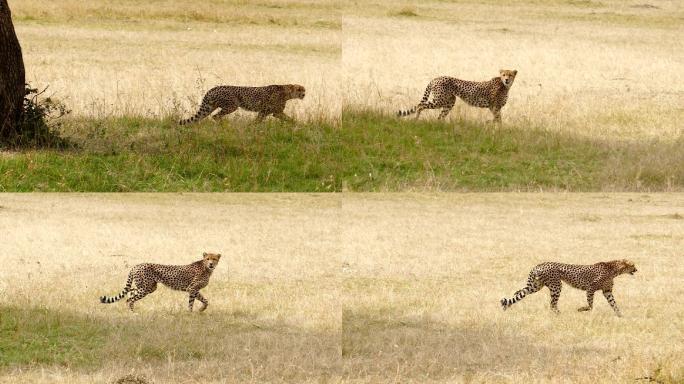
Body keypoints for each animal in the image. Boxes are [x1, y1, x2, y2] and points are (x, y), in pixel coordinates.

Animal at [178, 84, 306, 124]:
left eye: (304, 90)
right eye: (300, 89)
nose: (304, 94)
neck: (287, 91)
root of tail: (214, 88)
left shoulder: (269, 112)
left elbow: (257, 121)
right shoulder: (271, 111)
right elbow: (290, 119)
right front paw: (298, 124)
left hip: (210, 107)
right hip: (232, 106)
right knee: (216, 116)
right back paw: (224, 125)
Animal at [500, 260, 640, 316]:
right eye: (633, 265)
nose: (636, 269)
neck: (614, 269)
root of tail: (539, 265)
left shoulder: (607, 291)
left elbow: (614, 304)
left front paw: (620, 315)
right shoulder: (590, 288)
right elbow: (590, 305)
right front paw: (581, 309)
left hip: (536, 286)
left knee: (521, 293)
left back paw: (507, 305)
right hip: (556, 286)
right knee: (552, 304)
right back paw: (559, 314)